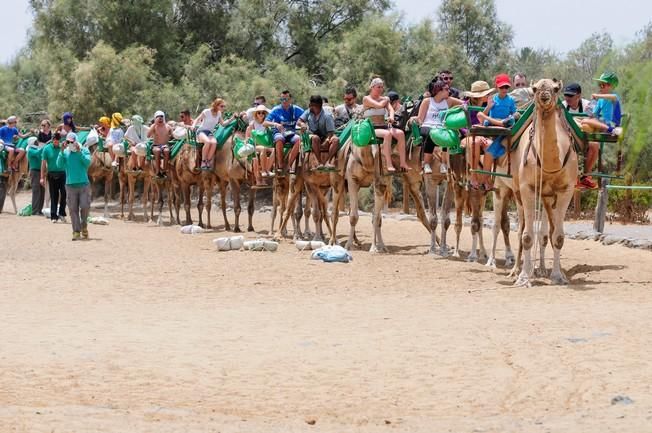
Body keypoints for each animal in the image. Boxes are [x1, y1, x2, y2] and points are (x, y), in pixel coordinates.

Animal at [516, 77, 576, 286]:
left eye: (556, 88)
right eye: (534, 88)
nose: (544, 95)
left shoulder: (566, 190)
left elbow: (557, 237)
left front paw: (557, 276)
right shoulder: (526, 188)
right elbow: (527, 236)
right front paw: (524, 278)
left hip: (548, 198)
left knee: (545, 234)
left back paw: (542, 269)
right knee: (521, 229)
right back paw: (519, 269)